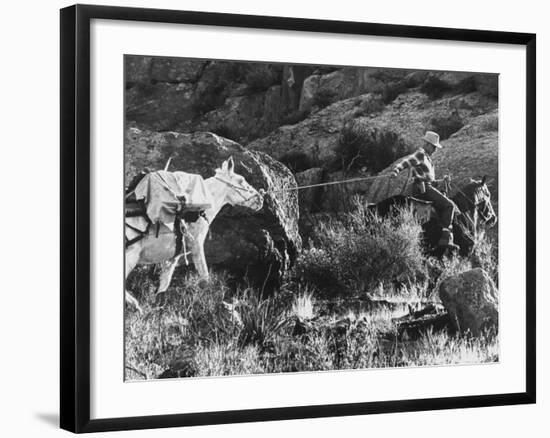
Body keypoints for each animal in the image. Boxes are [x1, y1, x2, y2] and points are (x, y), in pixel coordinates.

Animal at [125, 157, 266, 314]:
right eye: (241, 180)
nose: (260, 199)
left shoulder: (174, 255)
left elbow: (164, 284)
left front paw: (157, 307)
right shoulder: (196, 244)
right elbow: (205, 278)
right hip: (130, 257)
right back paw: (135, 305)